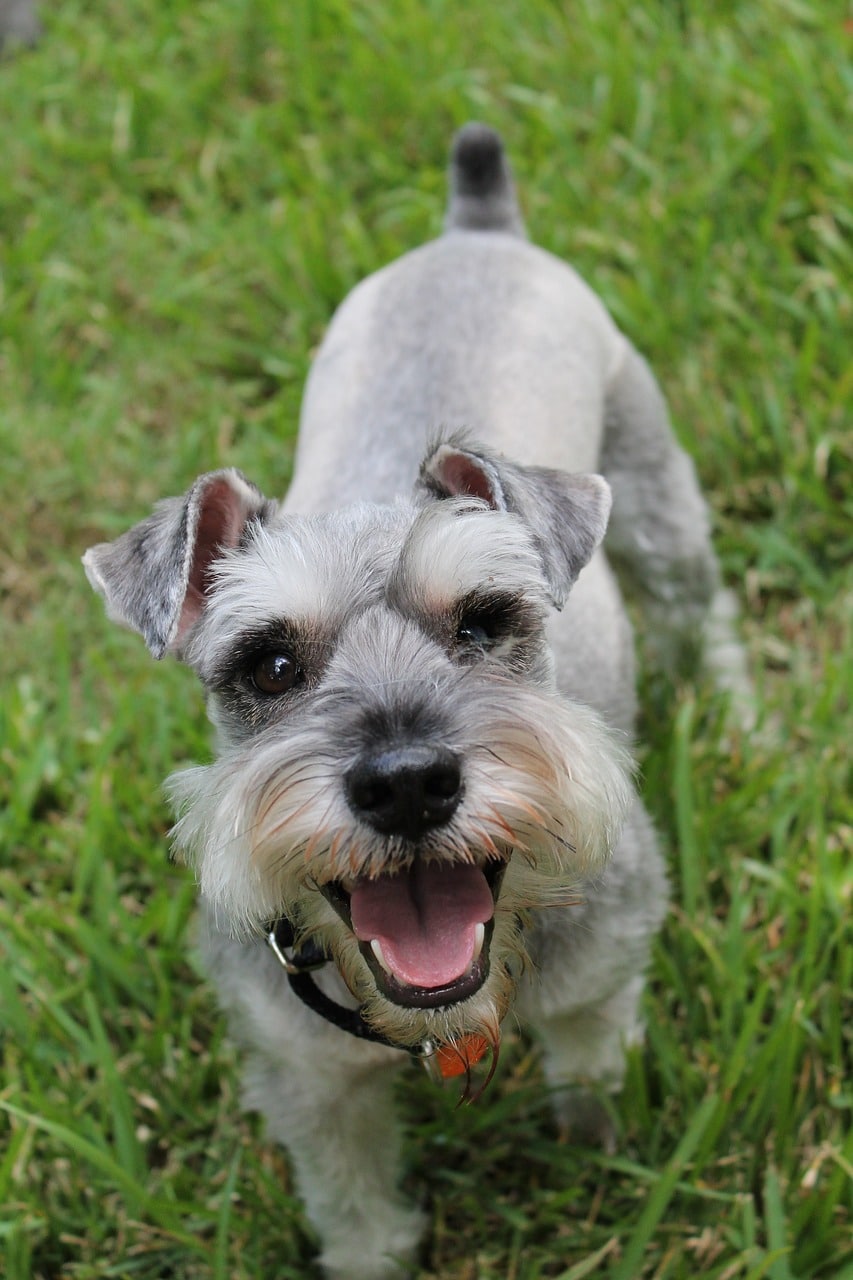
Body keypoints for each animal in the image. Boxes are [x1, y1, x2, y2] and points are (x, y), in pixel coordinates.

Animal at [83, 122, 742, 1280]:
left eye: (482, 620)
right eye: (268, 664)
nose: (405, 784)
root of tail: (474, 228)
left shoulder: (599, 978)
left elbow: (590, 1074)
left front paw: (602, 1160)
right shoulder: (308, 1079)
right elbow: (352, 1204)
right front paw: (371, 1252)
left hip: (656, 494)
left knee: (699, 609)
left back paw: (740, 714)